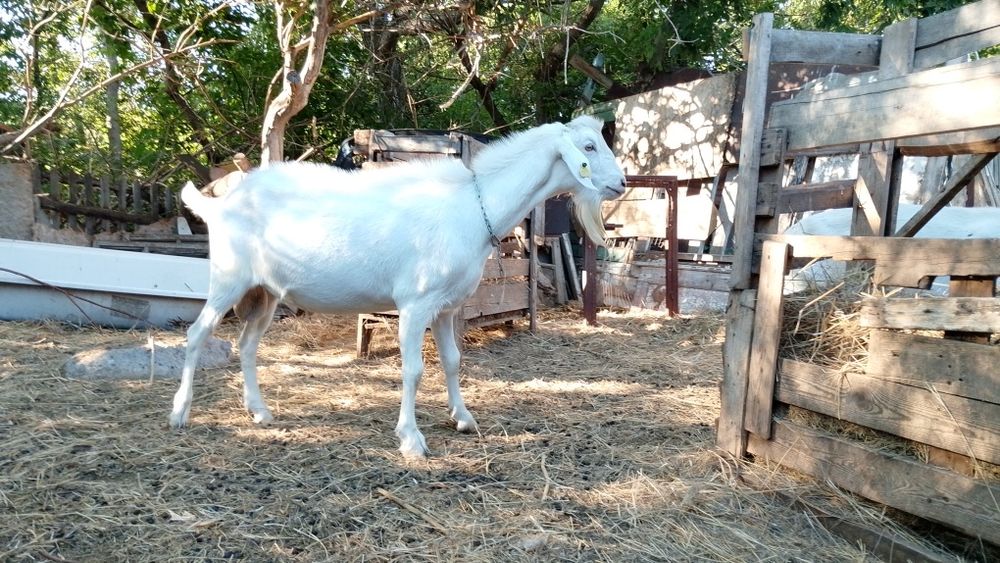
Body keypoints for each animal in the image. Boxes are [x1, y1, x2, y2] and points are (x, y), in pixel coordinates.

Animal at [169, 115, 626, 457]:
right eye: (588, 147)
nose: (621, 183)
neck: (470, 206)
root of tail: (219, 204)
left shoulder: (446, 306)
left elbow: (453, 361)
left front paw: (463, 418)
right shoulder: (415, 303)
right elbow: (413, 368)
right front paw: (411, 439)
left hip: (266, 291)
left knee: (246, 345)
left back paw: (259, 412)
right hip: (228, 278)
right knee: (197, 335)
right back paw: (180, 413)